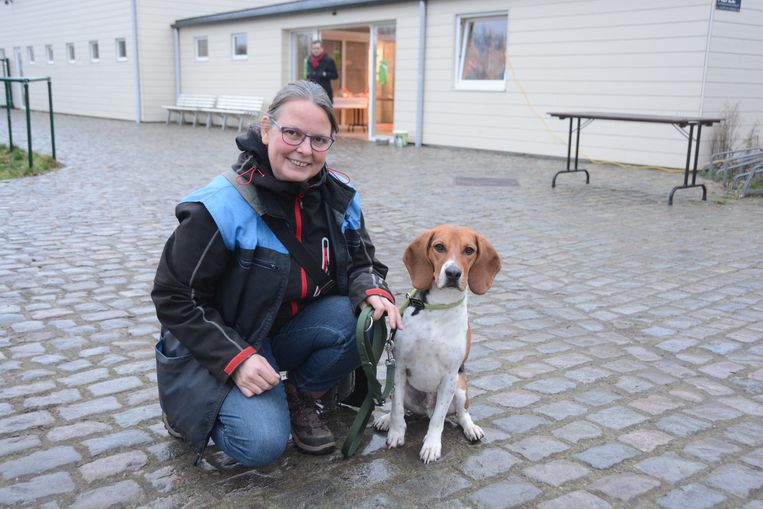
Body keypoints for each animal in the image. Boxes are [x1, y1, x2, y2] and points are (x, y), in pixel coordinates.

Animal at [374, 224, 502, 462]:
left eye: (469, 250)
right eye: (439, 247)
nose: (453, 273)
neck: (439, 307)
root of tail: (424, 409)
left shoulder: (450, 376)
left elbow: (438, 419)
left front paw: (431, 446)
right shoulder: (399, 366)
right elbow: (397, 409)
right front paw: (396, 432)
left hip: (460, 387)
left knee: (461, 413)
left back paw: (471, 428)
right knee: (400, 406)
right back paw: (386, 419)